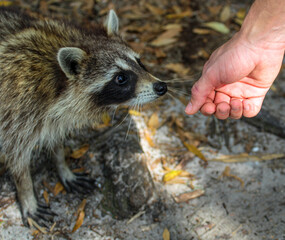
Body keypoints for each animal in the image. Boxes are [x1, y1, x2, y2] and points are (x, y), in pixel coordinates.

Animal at [0, 7, 166, 225]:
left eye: (139, 62)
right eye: (121, 78)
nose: (161, 87)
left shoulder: (53, 116)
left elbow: (55, 137)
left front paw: (62, 166)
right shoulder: (17, 111)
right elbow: (17, 159)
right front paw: (27, 194)